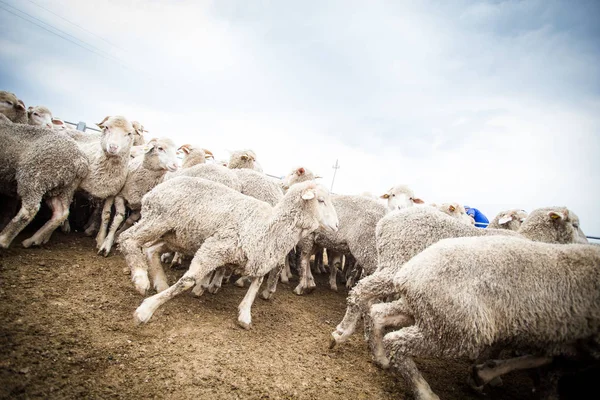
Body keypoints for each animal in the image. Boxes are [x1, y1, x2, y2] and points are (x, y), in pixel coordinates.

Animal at [116, 178, 338, 328]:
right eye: (320, 200)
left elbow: (256, 285)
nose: (337, 225)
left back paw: (159, 282)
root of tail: (156, 188)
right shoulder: (216, 247)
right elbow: (188, 280)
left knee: (150, 249)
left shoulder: (259, 258)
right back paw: (141, 278)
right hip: (158, 219)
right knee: (128, 239)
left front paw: (245, 314)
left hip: (175, 235)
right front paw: (146, 310)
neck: (268, 227)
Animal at [380, 236, 600, 400]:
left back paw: (379, 355)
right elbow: (549, 367)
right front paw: (484, 375)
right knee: (396, 341)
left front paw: (484, 374)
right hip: (456, 328)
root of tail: (410, 271)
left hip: (425, 312)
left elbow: (543, 360)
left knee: (379, 313)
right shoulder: (580, 344)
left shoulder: (561, 339)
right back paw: (424, 392)